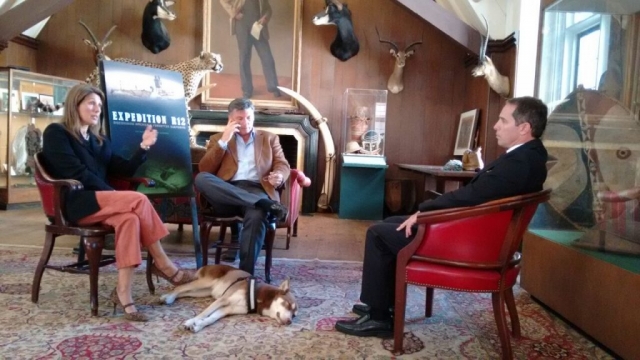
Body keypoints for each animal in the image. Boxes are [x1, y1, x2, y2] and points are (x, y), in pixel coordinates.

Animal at [160, 262, 300, 334]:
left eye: (294, 315)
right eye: (287, 304)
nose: (289, 322)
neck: (256, 295)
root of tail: (209, 264)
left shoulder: (227, 309)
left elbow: (211, 318)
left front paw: (198, 326)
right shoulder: (223, 300)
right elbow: (204, 313)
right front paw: (190, 321)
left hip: (204, 292)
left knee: (185, 292)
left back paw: (169, 297)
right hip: (205, 283)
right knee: (180, 288)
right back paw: (168, 297)